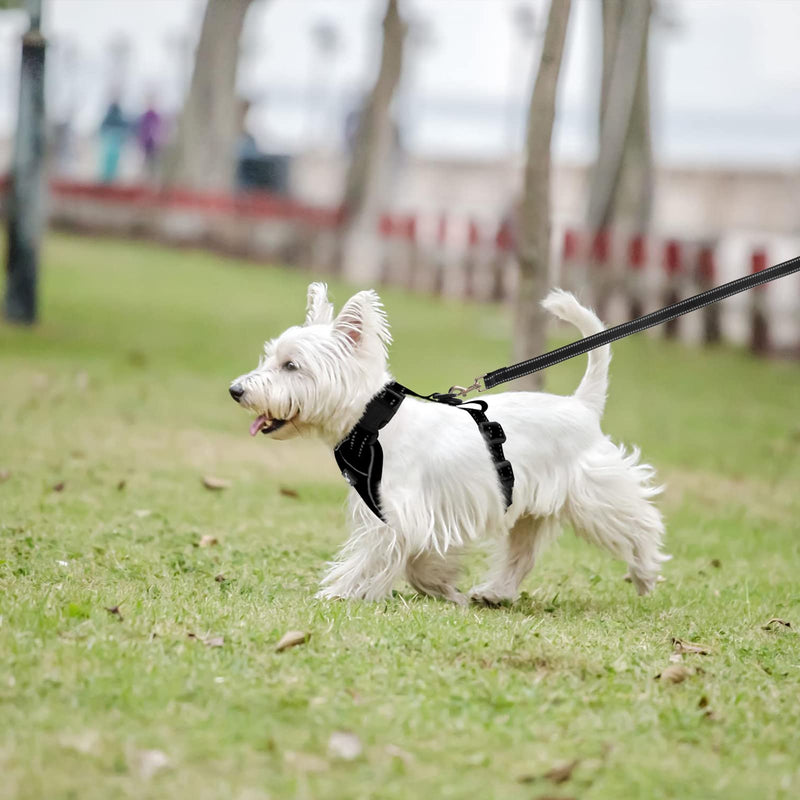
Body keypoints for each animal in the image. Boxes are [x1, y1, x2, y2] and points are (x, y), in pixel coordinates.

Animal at [230, 284, 668, 604]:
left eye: (291, 365)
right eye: (270, 358)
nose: (236, 390)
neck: (373, 421)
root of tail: (583, 405)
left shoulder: (399, 514)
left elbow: (372, 558)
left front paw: (339, 592)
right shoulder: (413, 513)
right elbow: (416, 558)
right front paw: (441, 584)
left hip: (597, 496)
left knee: (640, 524)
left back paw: (645, 574)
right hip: (531, 510)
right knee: (521, 554)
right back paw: (494, 593)